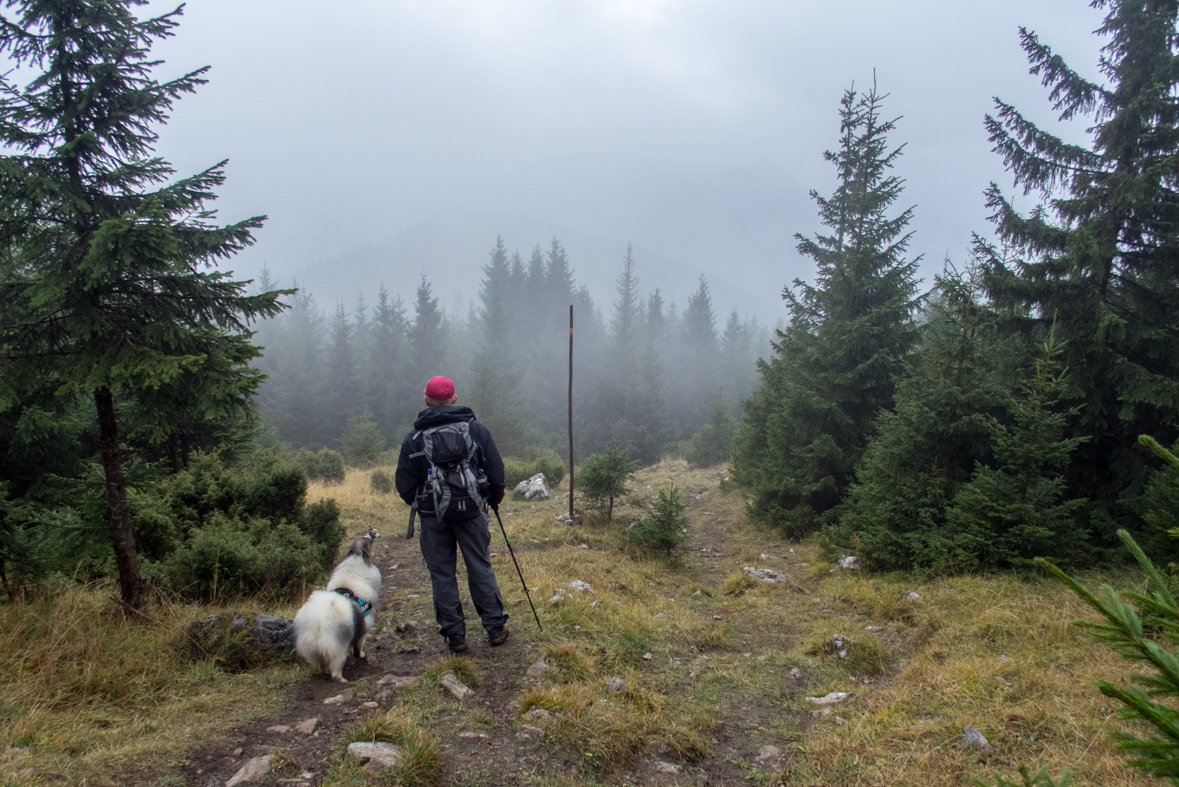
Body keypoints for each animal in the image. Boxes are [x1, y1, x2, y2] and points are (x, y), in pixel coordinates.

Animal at [292, 527, 379, 683]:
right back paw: (343, 680)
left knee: (323, 665)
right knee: (336, 670)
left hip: (315, 649)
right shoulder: (363, 630)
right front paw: (361, 655)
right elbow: (358, 647)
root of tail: (318, 619)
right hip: (338, 649)